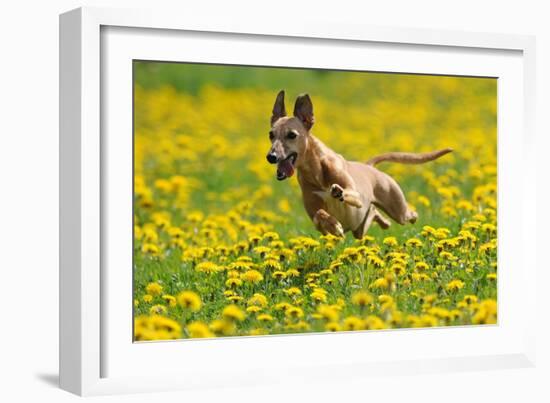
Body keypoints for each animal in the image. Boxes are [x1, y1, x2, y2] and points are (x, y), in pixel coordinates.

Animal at [268, 90, 452, 240]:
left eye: (292, 135)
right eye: (271, 134)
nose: (271, 157)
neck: (315, 171)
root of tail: (369, 166)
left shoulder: (355, 195)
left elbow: (348, 193)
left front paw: (338, 192)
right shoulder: (314, 213)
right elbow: (319, 215)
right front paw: (334, 226)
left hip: (399, 211)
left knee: (410, 214)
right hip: (360, 229)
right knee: (374, 215)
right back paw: (382, 221)